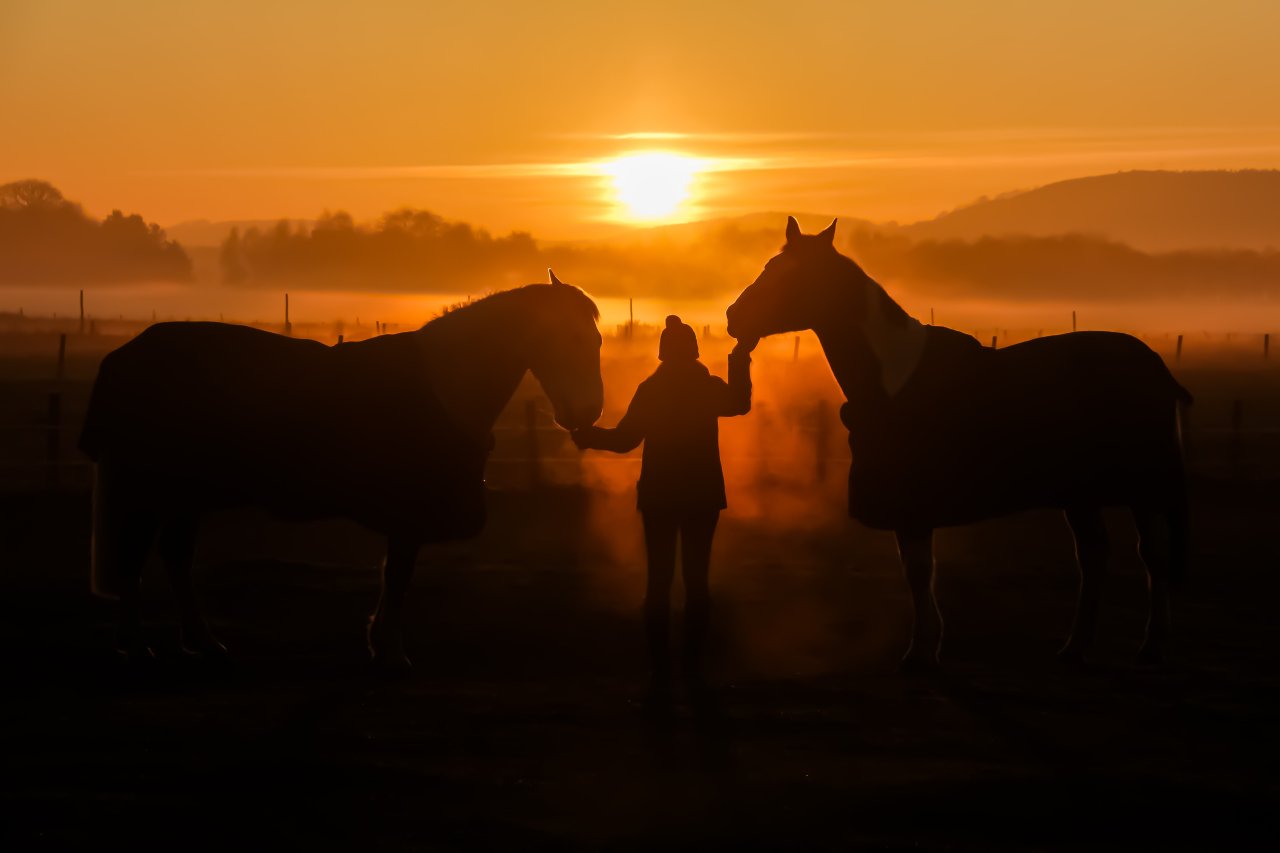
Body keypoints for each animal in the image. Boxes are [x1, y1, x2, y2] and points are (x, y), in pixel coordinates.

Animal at [81, 270, 604, 666]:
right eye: (572, 337)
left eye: (596, 339)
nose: (587, 412)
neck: (442, 388)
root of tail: (125, 357)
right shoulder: (409, 516)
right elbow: (397, 576)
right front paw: (390, 649)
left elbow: (393, 575)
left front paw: (382, 644)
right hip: (154, 489)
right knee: (135, 556)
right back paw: (139, 644)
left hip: (184, 494)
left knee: (173, 555)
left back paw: (200, 640)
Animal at [727, 216, 1192, 666]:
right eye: (770, 266)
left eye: (790, 275)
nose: (734, 317)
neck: (894, 380)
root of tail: (1156, 367)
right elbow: (917, 571)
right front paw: (928, 644)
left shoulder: (913, 509)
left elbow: (919, 572)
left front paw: (921, 650)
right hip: (1081, 494)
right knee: (1095, 557)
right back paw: (1075, 647)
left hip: (1141, 490)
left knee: (1152, 555)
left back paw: (1150, 645)